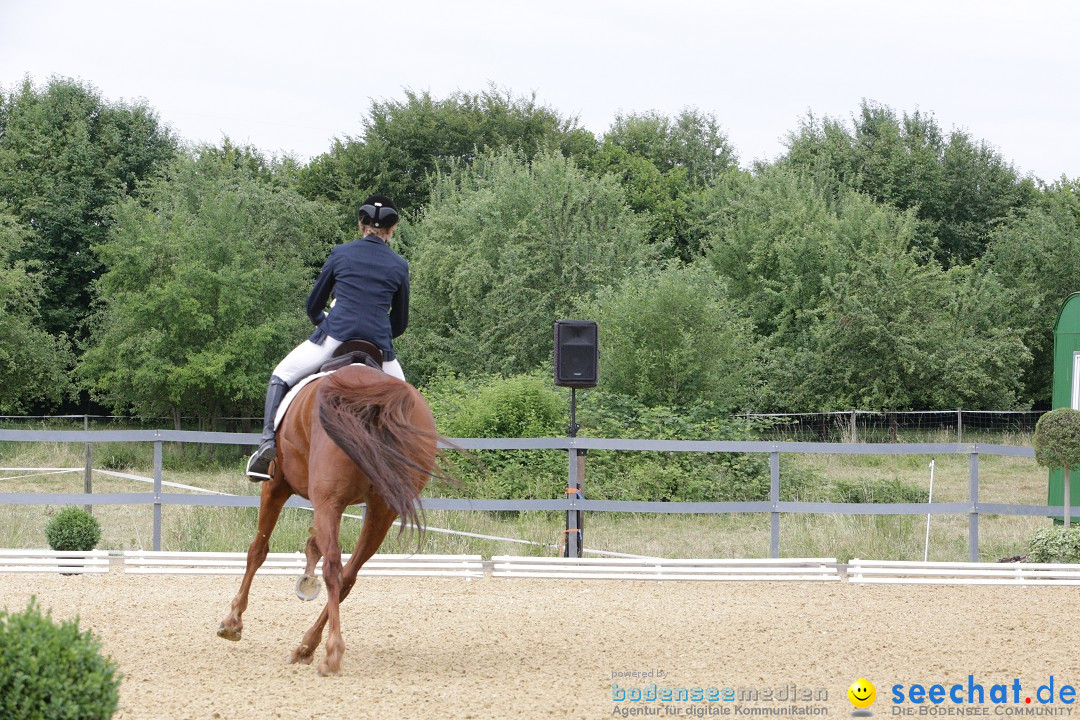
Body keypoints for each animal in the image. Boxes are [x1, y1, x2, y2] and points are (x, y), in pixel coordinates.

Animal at [214, 367, 438, 677]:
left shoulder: (276, 486)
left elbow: (257, 550)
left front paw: (232, 621)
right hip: (382, 509)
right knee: (348, 575)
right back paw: (307, 646)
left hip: (327, 498)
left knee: (333, 566)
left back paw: (331, 653)